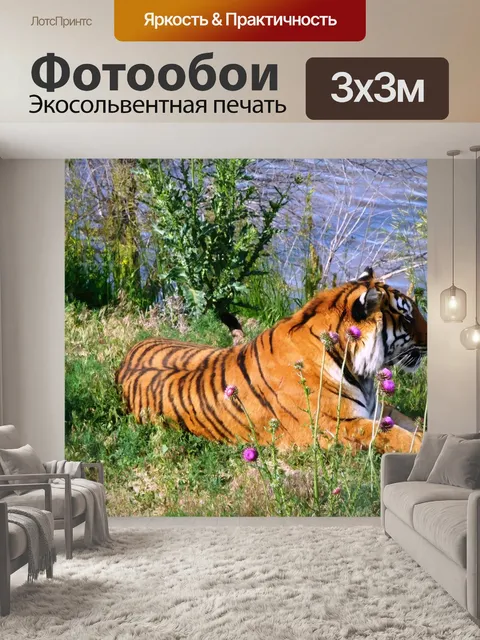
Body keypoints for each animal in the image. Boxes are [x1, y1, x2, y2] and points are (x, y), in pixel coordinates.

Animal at [116, 268, 427, 454]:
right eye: (407, 315)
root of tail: (126, 357)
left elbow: (411, 423)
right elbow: (397, 436)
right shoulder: (341, 426)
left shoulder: (378, 410)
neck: (354, 367)